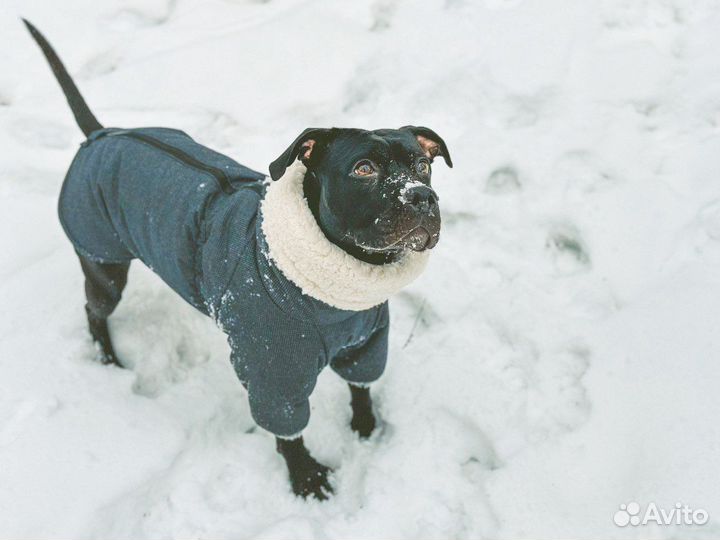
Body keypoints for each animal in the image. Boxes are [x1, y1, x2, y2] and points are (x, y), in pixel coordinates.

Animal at [25, 19, 452, 500]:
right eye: (364, 169)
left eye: (423, 165)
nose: (422, 196)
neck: (337, 292)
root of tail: (101, 135)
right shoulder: (274, 377)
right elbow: (289, 432)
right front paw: (304, 477)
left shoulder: (366, 345)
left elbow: (360, 387)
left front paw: (366, 427)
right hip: (103, 262)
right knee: (93, 310)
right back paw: (108, 363)